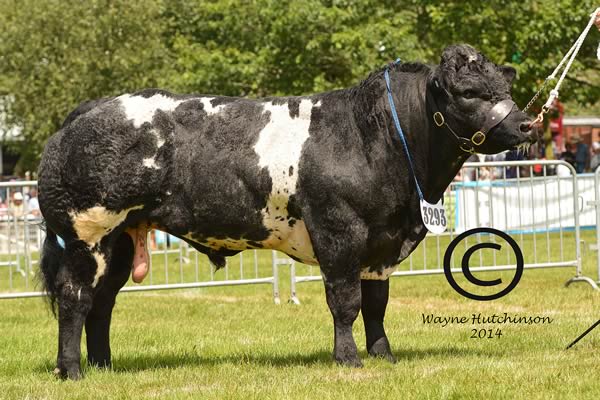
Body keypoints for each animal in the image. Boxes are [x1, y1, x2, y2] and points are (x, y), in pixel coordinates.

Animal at [37, 44, 536, 378]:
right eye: (468, 91)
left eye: (504, 86)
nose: (527, 123)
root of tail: (91, 109)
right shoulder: (339, 232)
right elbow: (346, 302)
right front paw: (348, 359)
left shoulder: (381, 244)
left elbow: (377, 304)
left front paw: (384, 355)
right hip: (86, 235)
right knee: (75, 298)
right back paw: (72, 370)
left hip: (121, 238)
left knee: (102, 302)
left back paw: (104, 366)